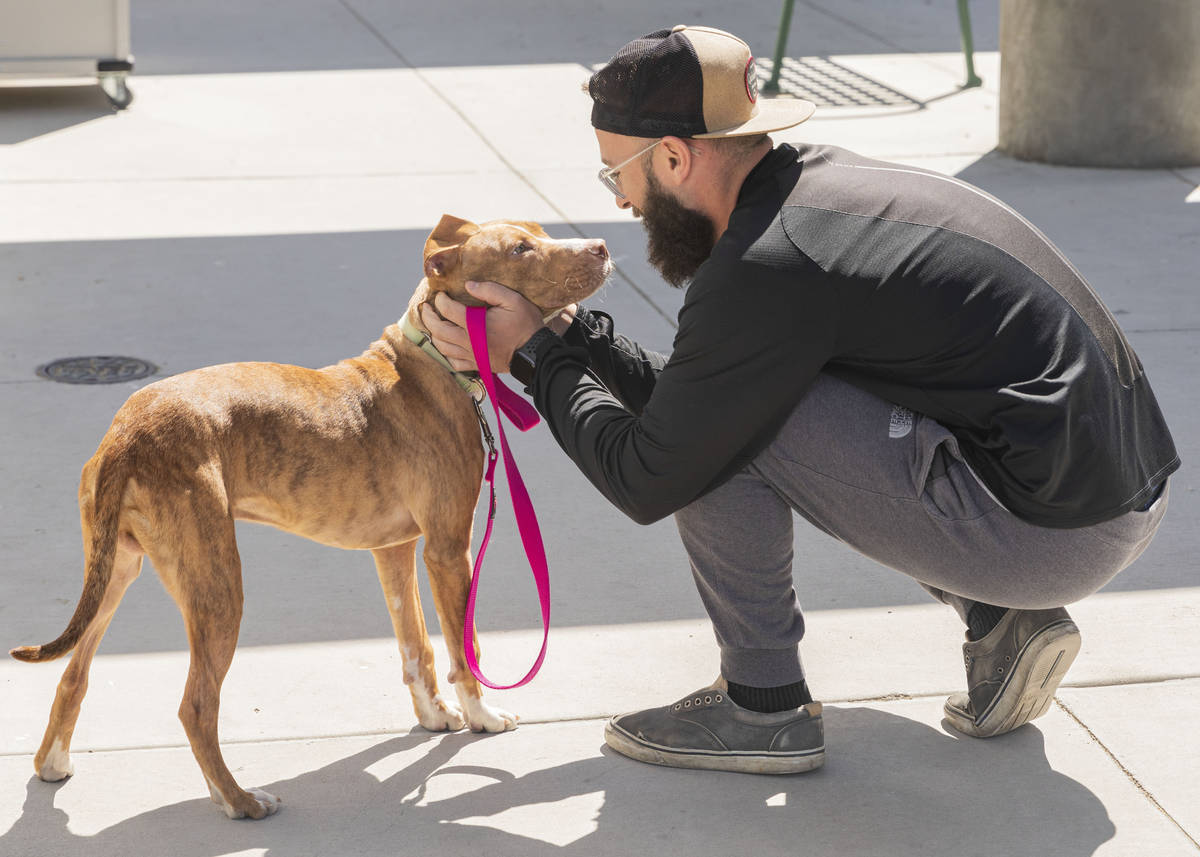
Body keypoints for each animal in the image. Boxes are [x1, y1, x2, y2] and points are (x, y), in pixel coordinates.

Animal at [7, 212, 609, 816]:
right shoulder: (448, 550)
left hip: (116, 569)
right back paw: (239, 800)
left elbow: (414, 643)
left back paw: (54, 764)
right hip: (215, 585)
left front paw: (436, 716)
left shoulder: (394, 549)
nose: (602, 246)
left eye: (539, 232)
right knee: (196, 705)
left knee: (74, 675)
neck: (432, 361)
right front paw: (482, 716)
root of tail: (127, 434)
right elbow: (466, 646)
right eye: (519, 249)